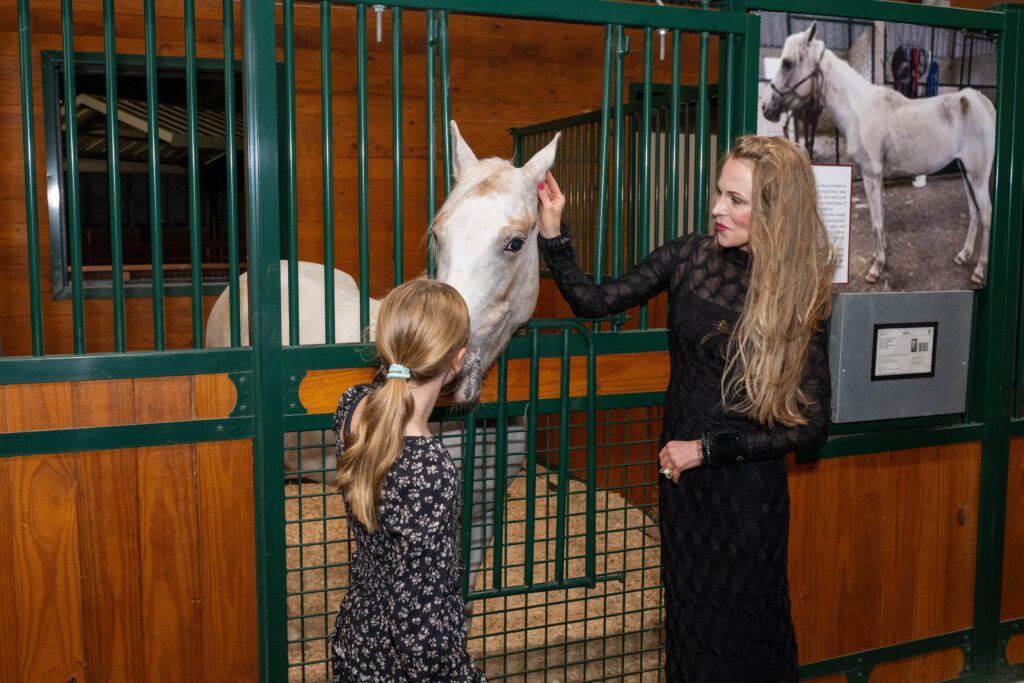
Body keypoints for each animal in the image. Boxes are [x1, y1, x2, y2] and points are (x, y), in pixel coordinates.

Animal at [761, 22, 996, 285]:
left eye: (787, 63)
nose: (765, 106)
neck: (858, 111)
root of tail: (980, 101)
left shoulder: (871, 176)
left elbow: (875, 223)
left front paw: (876, 268)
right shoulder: (879, 178)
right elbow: (881, 219)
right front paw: (880, 256)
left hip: (977, 176)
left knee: (986, 214)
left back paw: (979, 270)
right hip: (966, 173)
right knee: (974, 212)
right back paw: (963, 255)